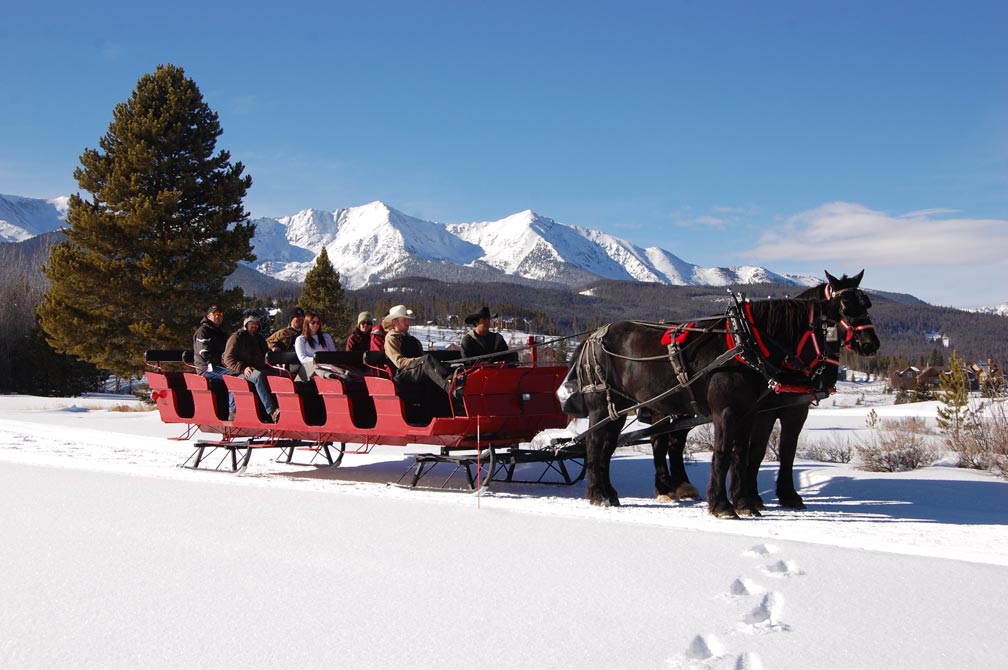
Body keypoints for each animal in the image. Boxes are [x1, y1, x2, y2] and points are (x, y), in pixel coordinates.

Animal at [572, 270, 878, 515]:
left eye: (867, 304)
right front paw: (722, 505)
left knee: (617, 445)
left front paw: (748, 502)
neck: (750, 344)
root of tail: (592, 337)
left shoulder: (758, 411)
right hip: (604, 406)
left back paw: (617, 492)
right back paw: (599, 493)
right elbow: (724, 453)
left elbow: (750, 453)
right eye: (843, 307)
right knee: (597, 444)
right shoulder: (732, 412)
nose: (870, 343)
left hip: (628, 407)